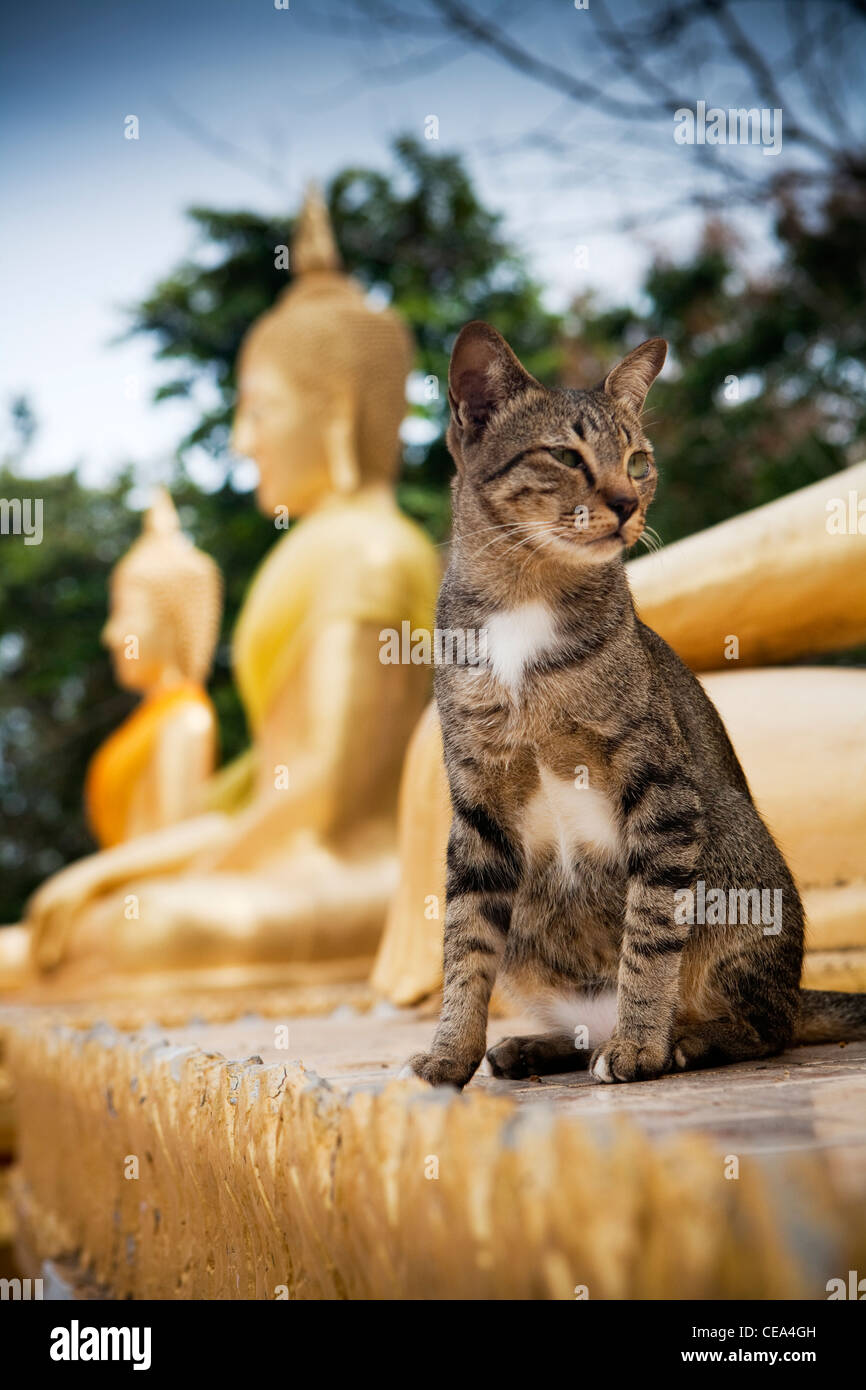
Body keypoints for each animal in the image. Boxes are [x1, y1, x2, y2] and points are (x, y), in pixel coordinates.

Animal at [405, 322, 866, 1084]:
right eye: (566, 455)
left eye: (639, 460)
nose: (628, 502)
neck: (526, 602)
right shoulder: (478, 805)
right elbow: (464, 946)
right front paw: (451, 1053)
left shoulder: (662, 789)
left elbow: (649, 933)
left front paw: (642, 1046)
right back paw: (538, 1045)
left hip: (737, 870)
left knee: (765, 1026)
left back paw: (681, 1039)